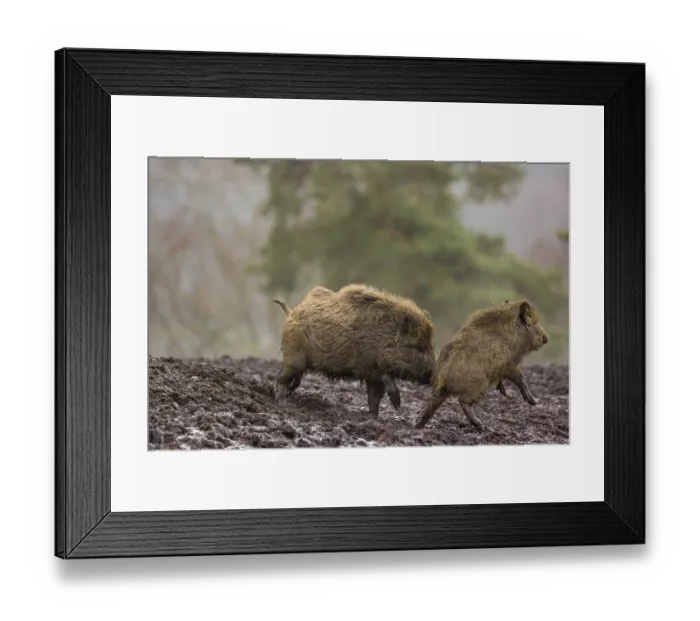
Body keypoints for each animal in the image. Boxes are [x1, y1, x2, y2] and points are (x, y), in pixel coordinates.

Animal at [272, 284, 436, 418]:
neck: (383, 337)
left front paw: (373, 418)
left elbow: (375, 397)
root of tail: (292, 312)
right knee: (282, 378)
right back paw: (282, 402)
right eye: (419, 347)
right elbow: (385, 380)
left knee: (295, 379)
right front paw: (397, 406)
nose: (433, 376)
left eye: (431, 346)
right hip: (293, 355)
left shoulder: (371, 374)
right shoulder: (365, 367)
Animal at [415, 299, 549, 430]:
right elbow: (520, 378)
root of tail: (442, 379)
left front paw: (505, 393)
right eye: (534, 322)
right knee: (462, 401)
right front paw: (533, 402)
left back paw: (418, 425)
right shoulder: (508, 364)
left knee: (431, 406)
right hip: (479, 385)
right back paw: (482, 426)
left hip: (443, 394)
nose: (546, 338)